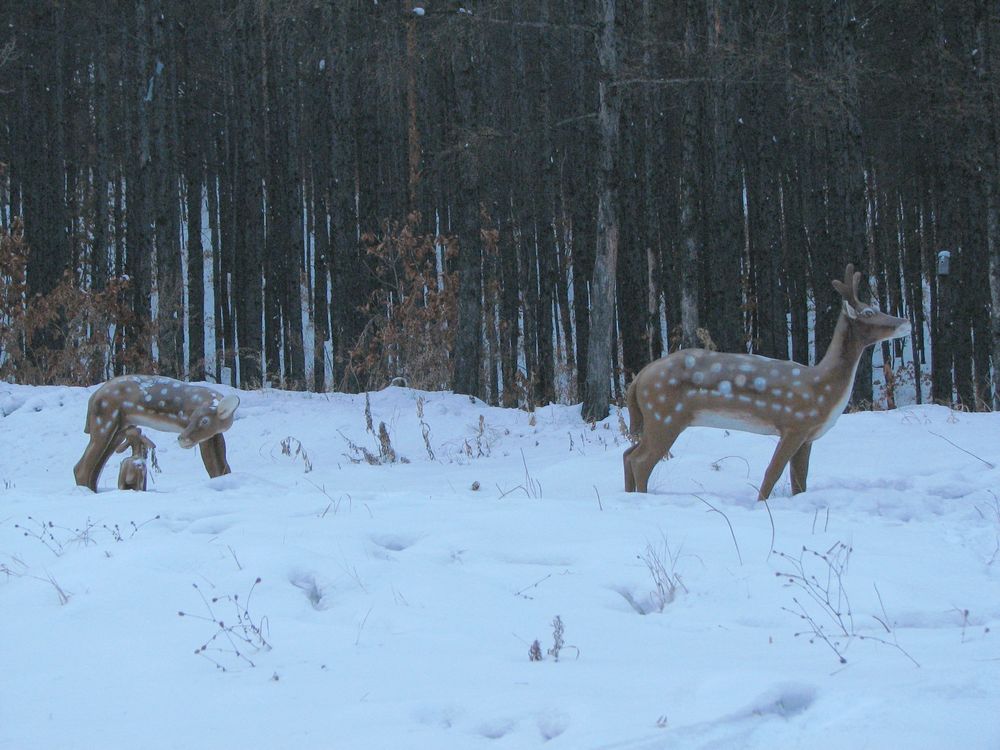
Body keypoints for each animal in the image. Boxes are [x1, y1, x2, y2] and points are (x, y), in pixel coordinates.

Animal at [73, 376, 239, 494]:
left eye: (204, 420)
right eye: (190, 418)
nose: (181, 438)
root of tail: (93, 396)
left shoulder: (214, 434)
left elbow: (222, 465)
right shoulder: (204, 436)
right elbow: (213, 467)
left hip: (119, 429)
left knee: (95, 468)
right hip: (104, 421)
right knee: (81, 467)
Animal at [624, 268, 916, 502]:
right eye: (869, 312)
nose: (907, 322)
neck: (822, 388)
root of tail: (639, 378)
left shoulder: (808, 436)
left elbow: (800, 481)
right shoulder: (794, 424)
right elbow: (772, 472)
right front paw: (761, 504)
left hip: (656, 419)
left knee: (628, 453)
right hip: (665, 415)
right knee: (641, 460)